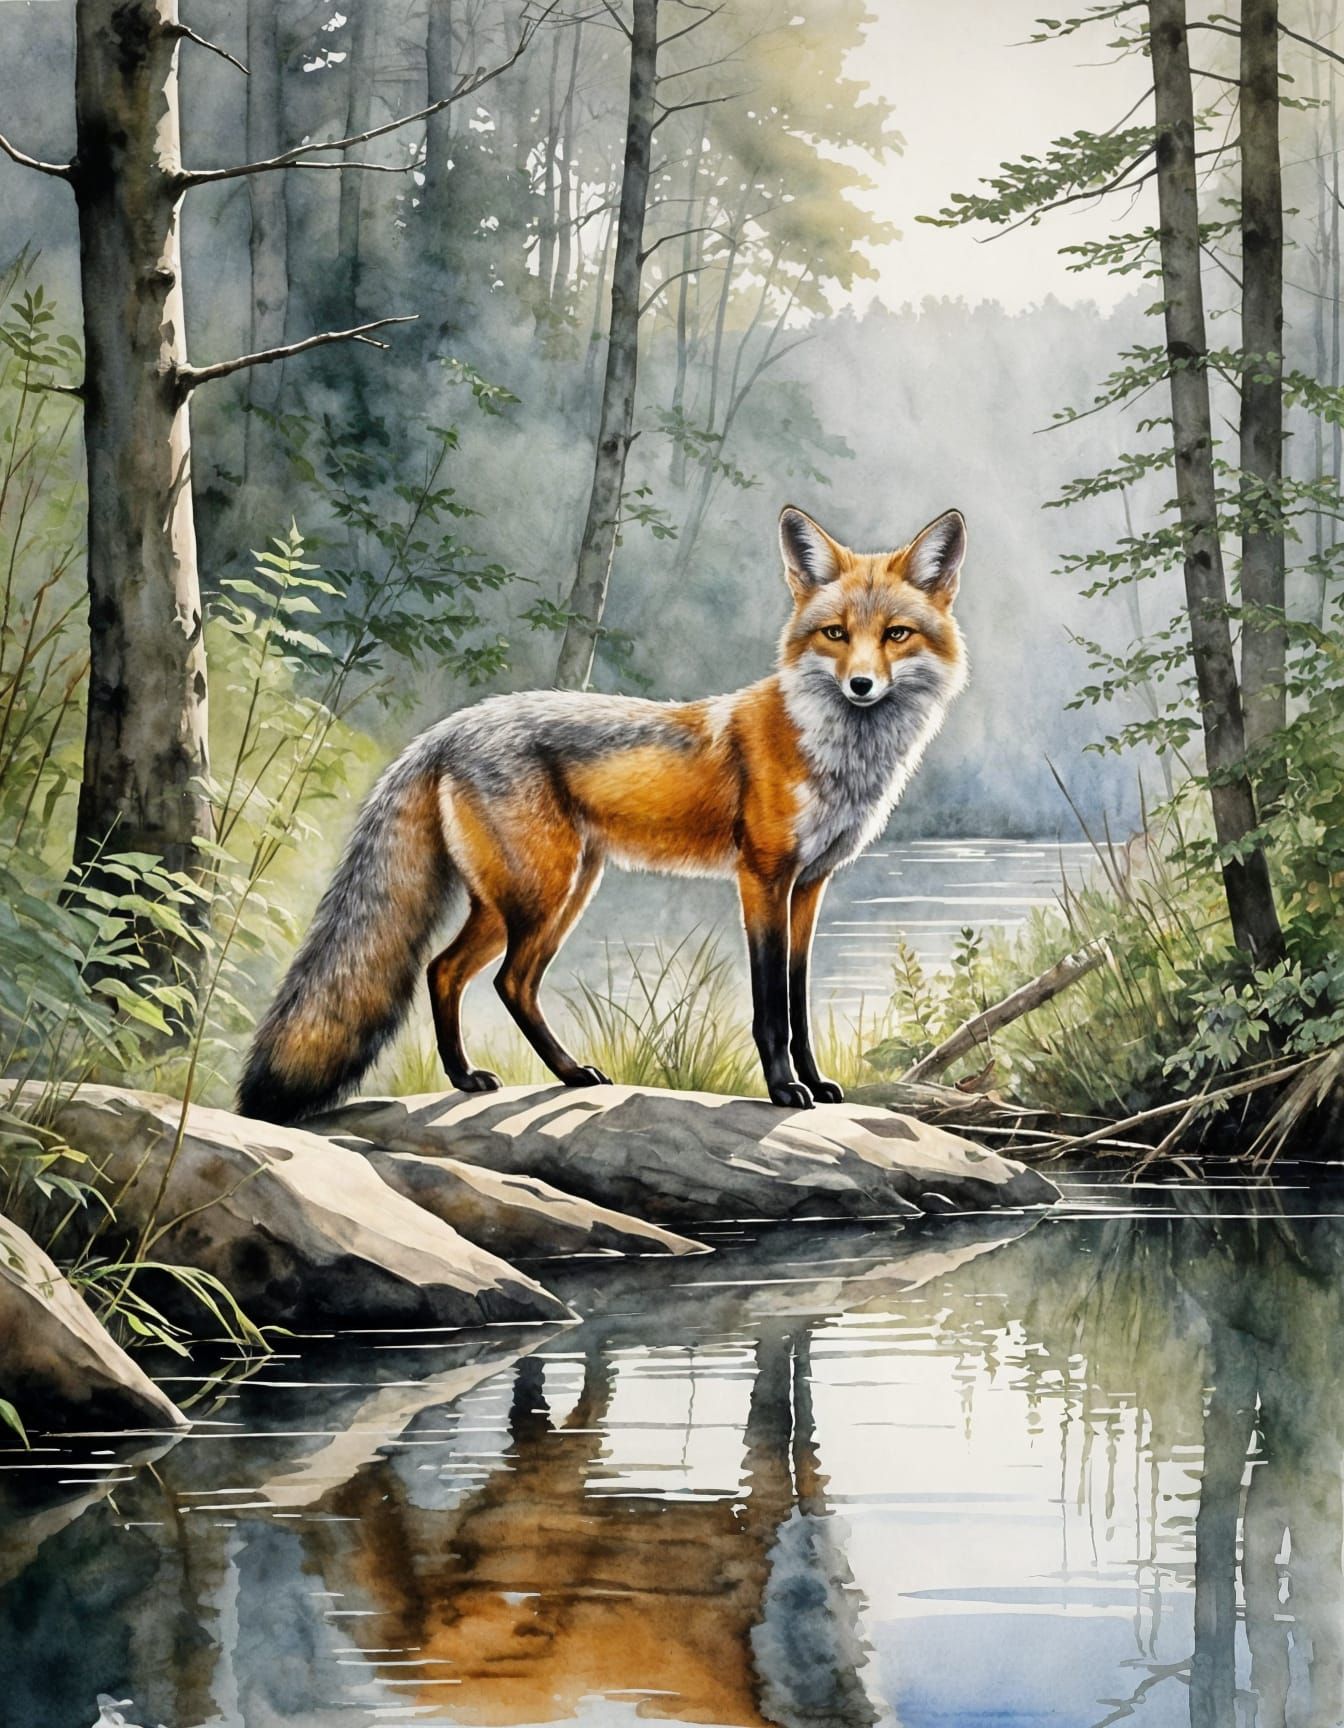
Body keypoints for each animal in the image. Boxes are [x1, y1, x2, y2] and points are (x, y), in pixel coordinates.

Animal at [237, 504, 968, 1123]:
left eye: (896, 635)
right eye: (836, 634)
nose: (861, 685)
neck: (835, 754)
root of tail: (449, 726)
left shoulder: (810, 886)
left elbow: (800, 1003)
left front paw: (814, 1083)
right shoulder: (763, 879)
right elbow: (771, 1011)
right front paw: (784, 1090)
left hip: (549, 894)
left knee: (462, 974)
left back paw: (505, 1077)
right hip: (539, 894)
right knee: (486, 977)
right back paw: (516, 1075)